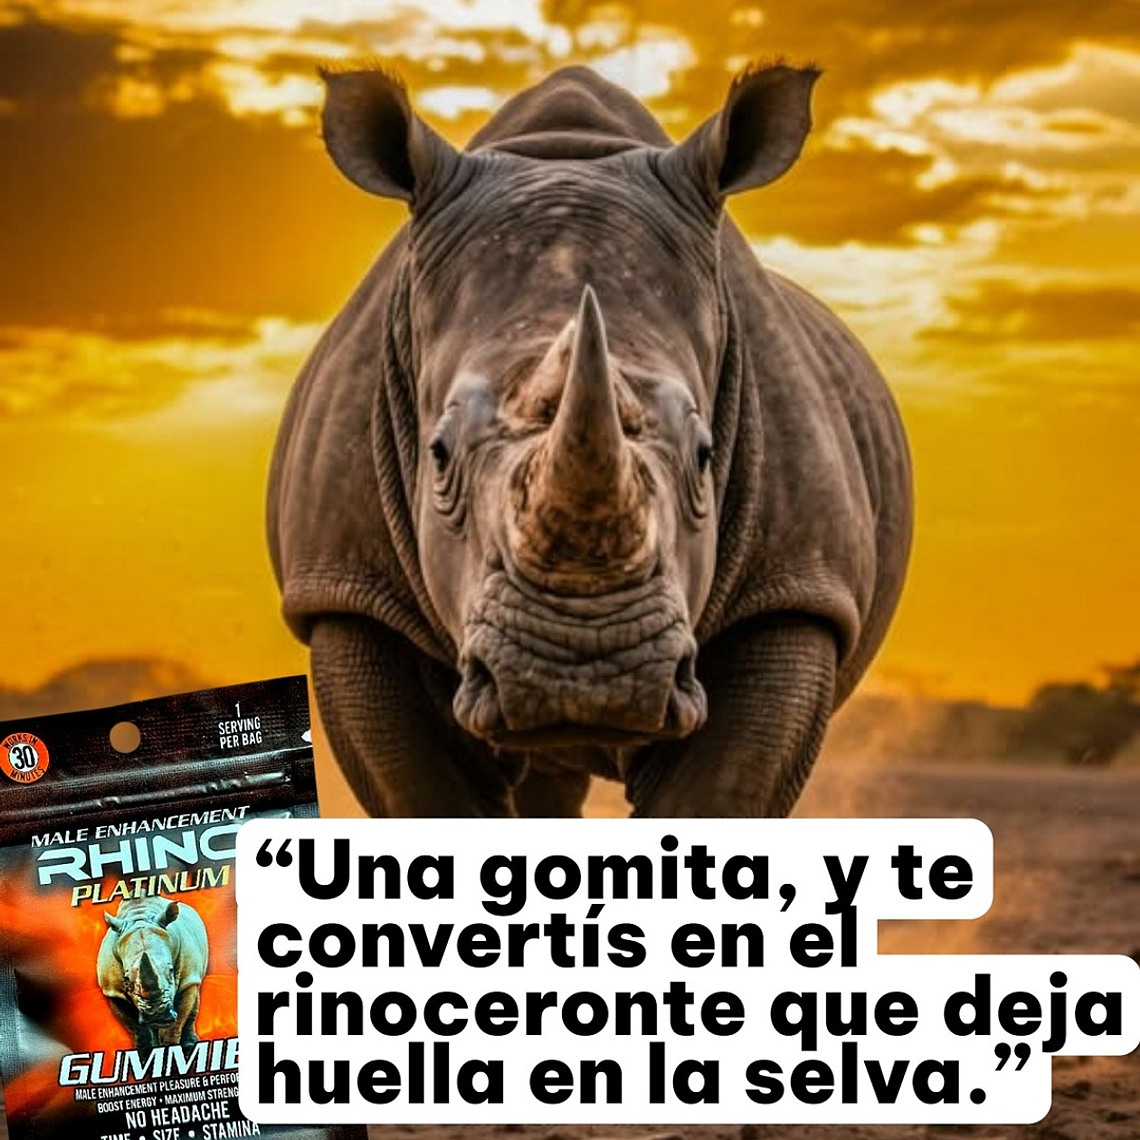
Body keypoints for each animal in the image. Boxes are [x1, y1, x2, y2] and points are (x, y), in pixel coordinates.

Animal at [97, 896, 208, 1056]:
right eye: (126, 981)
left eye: (171, 970)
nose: (156, 1014)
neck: (140, 915)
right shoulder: (113, 991)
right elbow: (138, 1031)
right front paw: (144, 1058)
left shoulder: (188, 976)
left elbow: (174, 1027)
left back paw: (190, 1046)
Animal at [268, 63, 912, 817]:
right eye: (438, 455)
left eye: (705, 456)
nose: (585, 667)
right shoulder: (347, 591)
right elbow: (428, 796)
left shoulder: (797, 587)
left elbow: (716, 797)